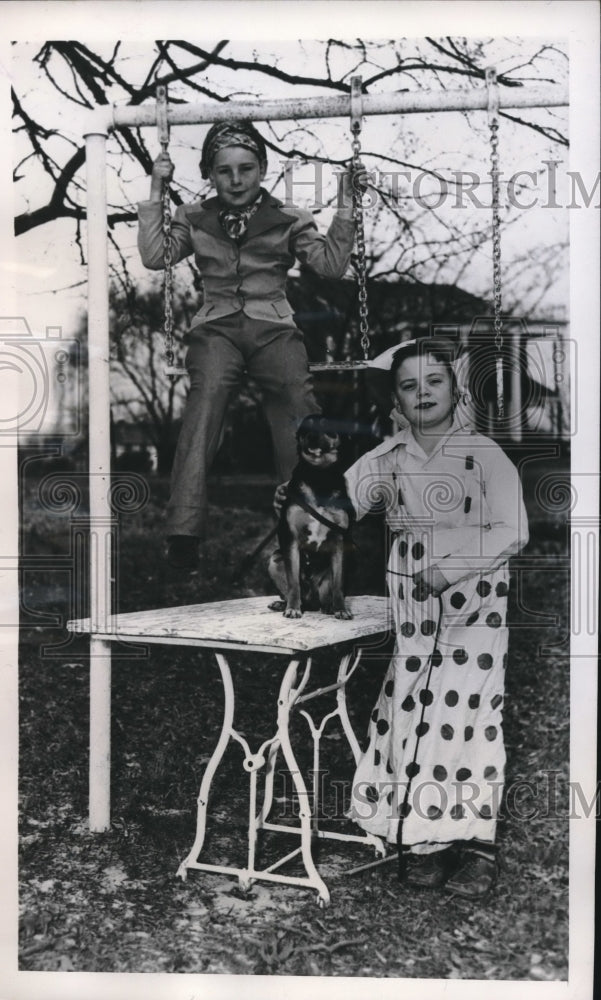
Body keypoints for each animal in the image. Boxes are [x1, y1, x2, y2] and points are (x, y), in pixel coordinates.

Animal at [266, 414, 352, 616]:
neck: (318, 475)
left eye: (328, 427)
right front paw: (292, 609)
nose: (312, 436)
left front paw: (341, 609)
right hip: (275, 560)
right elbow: (293, 583)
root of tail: (312, 602)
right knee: (294, 591)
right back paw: (285, 604)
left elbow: (338, 584)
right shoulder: (290, 539)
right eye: (305, 429)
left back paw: (329, 607)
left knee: (327, 594)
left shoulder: (340, 541)